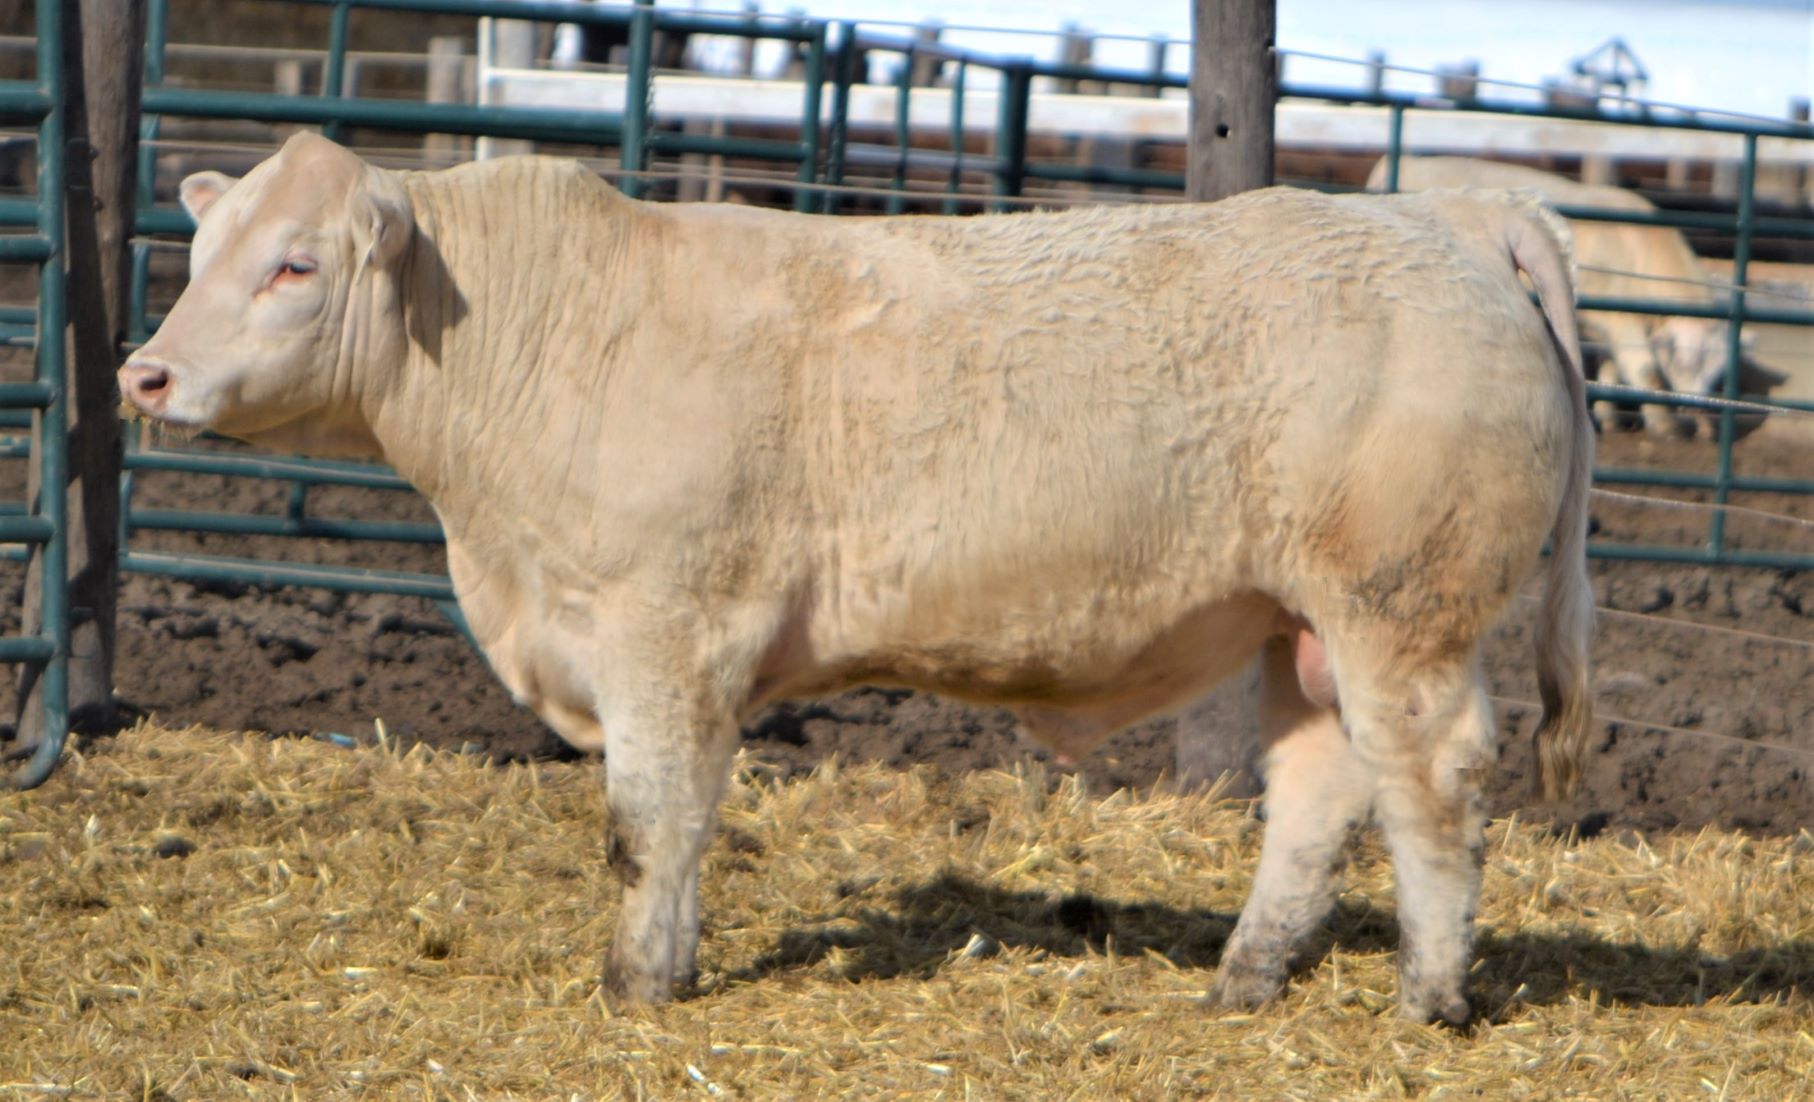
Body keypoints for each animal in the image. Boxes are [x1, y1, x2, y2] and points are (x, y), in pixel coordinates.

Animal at [119, 132, 1594, 1025]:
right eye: (201, 254)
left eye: (293, 264)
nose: (145, 374)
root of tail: (1456, 214)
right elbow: (671, 821)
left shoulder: (666, 631)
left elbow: (649, 820)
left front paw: (638, 980)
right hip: (1302, 626)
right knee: (1320, 786)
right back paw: (1241, 978)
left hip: (1402, 611)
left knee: (1431, 783)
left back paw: (1428, 993)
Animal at [1367, 155, 1785, 438]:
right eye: (1683, 360)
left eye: (1718, 372)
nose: (1699, 409)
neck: (1638, 248)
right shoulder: (1624, 325)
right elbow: (1643, 370)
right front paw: (1664, 426)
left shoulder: (1605, 328)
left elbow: (1611, 370)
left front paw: (1609, 419)